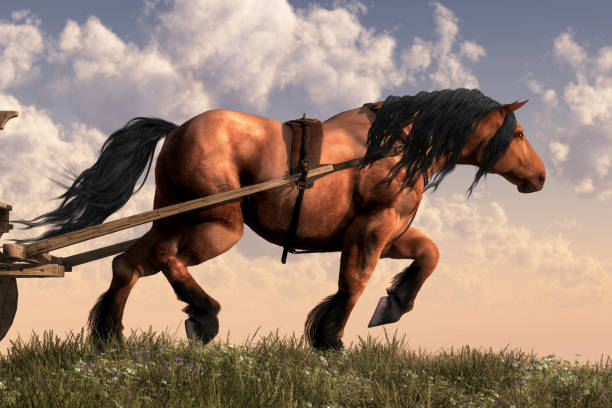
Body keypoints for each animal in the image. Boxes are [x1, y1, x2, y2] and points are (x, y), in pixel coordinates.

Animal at [19, 87, 544, 350]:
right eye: (517, 134)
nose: (539, 177)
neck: (391, 146)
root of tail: (178, 130)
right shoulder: (372, 229)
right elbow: (354, 282)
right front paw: (329, 338)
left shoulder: (388, 229)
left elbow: (428, 255)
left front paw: (394, 304)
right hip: (217, 225)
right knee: (167, 259)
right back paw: (204, 315)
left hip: (173, 217)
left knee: (126, 265)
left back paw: (110, 337)